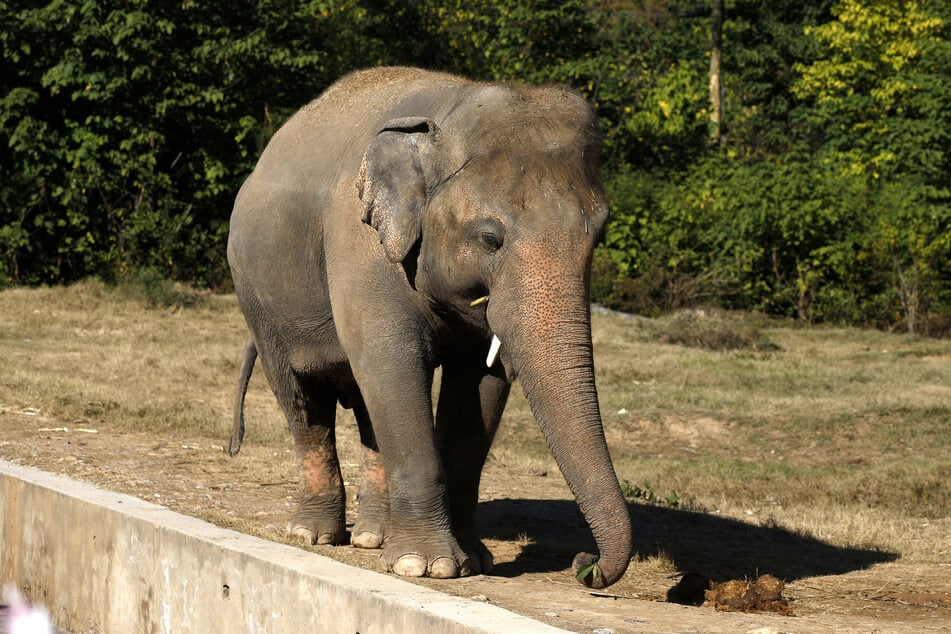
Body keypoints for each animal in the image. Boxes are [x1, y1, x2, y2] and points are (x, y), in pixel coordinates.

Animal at [227, 66, 633, 589]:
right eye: (490, 238)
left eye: (599, 235)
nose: (587, 566)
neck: (450, 108)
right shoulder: (360, 245)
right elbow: (393, 363)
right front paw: (428, 566)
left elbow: (481, 384)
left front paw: (474, 560)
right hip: (257, 298)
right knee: (303, 400)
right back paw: (312, 534)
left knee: (367, 407)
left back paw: (373, 537)